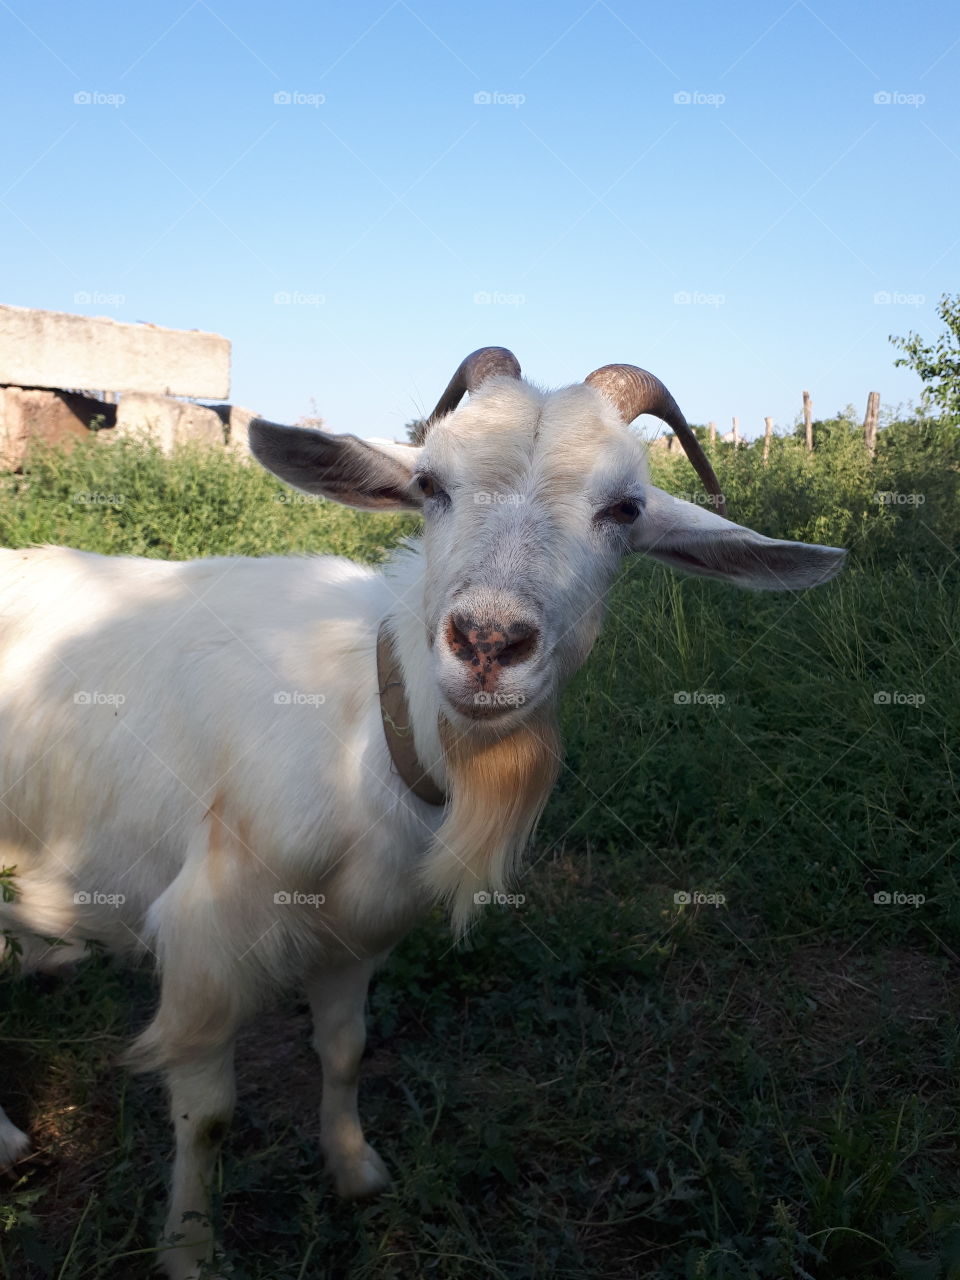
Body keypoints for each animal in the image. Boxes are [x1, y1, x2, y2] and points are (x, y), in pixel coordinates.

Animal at [0, 350, 845, 1278]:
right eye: (431, 484)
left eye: (624, 509)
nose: (487, 642)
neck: (364, 729)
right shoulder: (205, 940)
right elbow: (210, 1115)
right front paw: (191, 1252)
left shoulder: (355, 933)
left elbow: (344, 1051)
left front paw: (356, 1172)